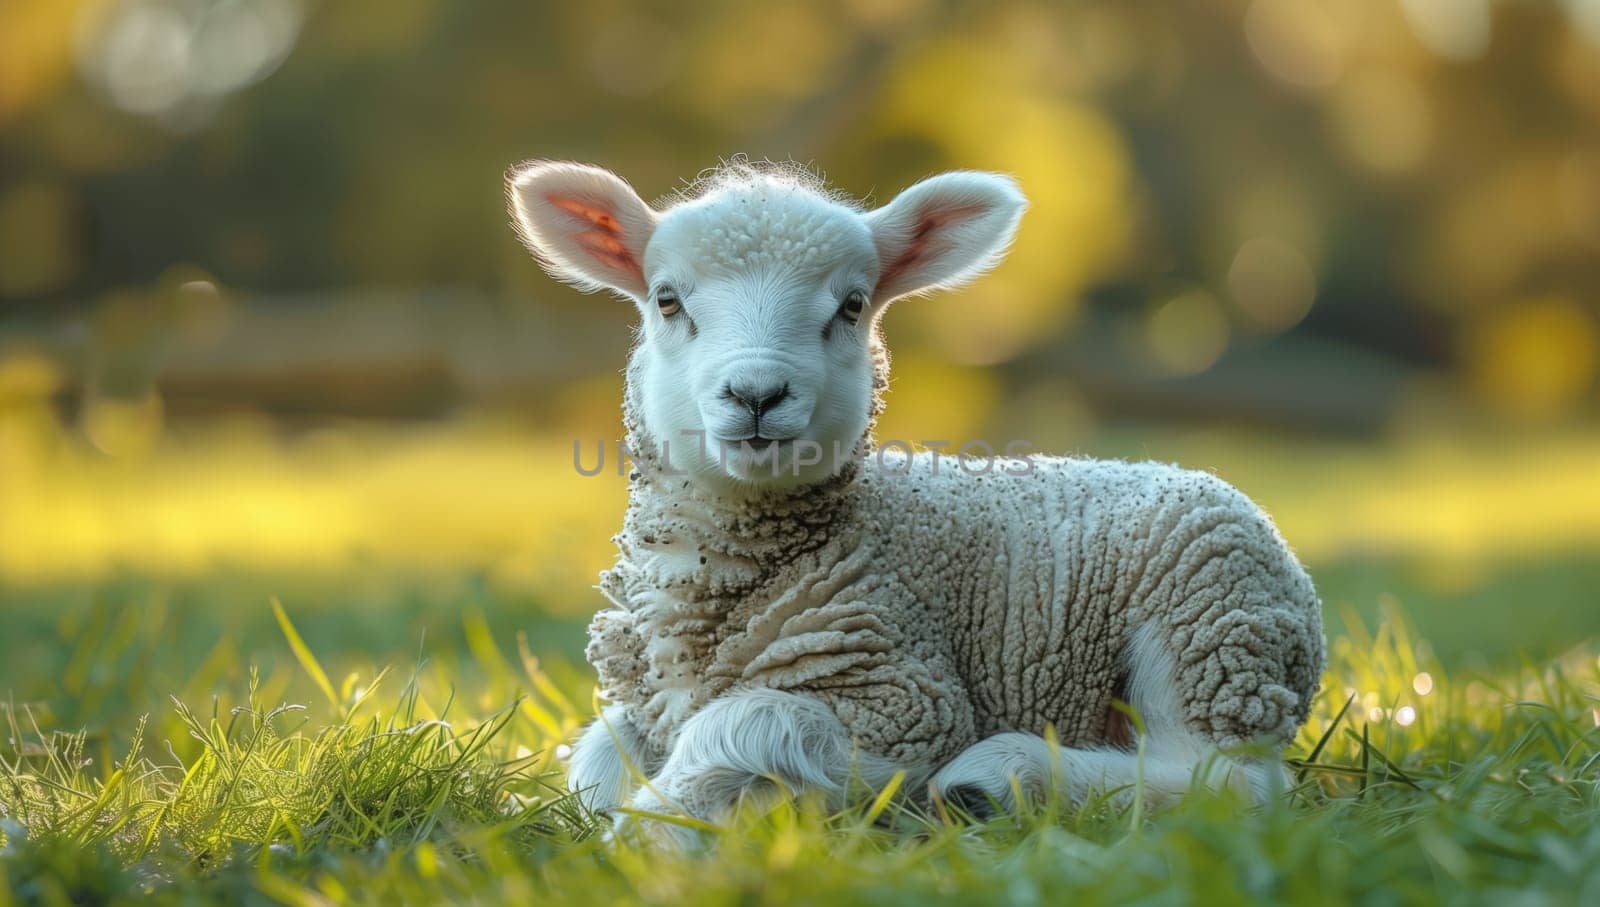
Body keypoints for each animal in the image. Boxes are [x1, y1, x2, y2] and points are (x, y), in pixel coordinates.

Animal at [508, 155, 1324, 844]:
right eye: (667, 299)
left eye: (852, 305)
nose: (757, 395)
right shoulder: (651, 697)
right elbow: (600, 752)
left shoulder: (908, 697)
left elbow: (748, 719)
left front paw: (656, 831)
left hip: (1208, 613)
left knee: (1232, 780)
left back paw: (997, 780)